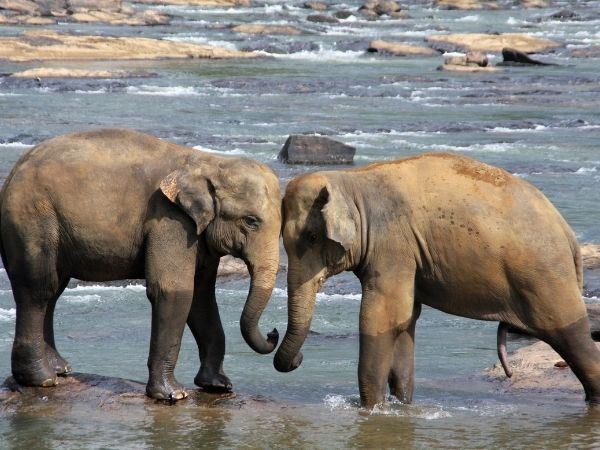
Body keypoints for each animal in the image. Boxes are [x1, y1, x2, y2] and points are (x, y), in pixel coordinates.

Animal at [0, 128, 282, 400]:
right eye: (250, 221)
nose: (273, 333)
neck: (211, 162)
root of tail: (13, 172)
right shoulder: (169, 220)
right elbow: (175, 291)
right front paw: (173, 395)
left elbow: (202, 297)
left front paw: (218, 386)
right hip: (32, 218)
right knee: (39, 288)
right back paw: (42, 380)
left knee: (54, 289)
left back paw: (60, 369)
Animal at [274, 153, 600, 410]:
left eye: (311, 237)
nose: (298, 357)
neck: (351, 181)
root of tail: (567, 233)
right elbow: (406, 320)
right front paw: (402, 406)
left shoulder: (393, 244)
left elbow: (382, 315)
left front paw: (371, 409)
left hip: (545, 276)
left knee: (572, 336)